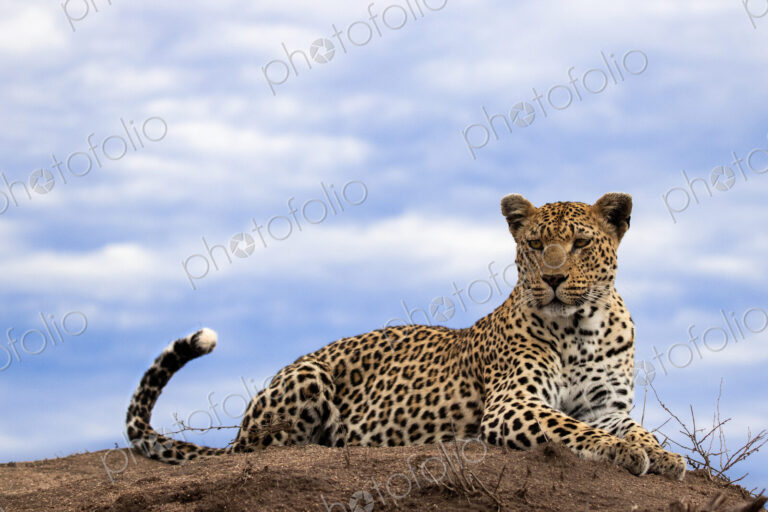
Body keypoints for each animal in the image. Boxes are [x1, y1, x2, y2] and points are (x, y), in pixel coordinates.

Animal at [125, 192, 686, 480]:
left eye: (581, 243)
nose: (551, 278)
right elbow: (574, 431)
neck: (581, 327)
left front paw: (664, 456)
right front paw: (624, 454)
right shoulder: (512, 404)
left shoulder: (607, 407)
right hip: (307, 378)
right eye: (534, 244)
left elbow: (638, 430)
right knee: (266, 451)